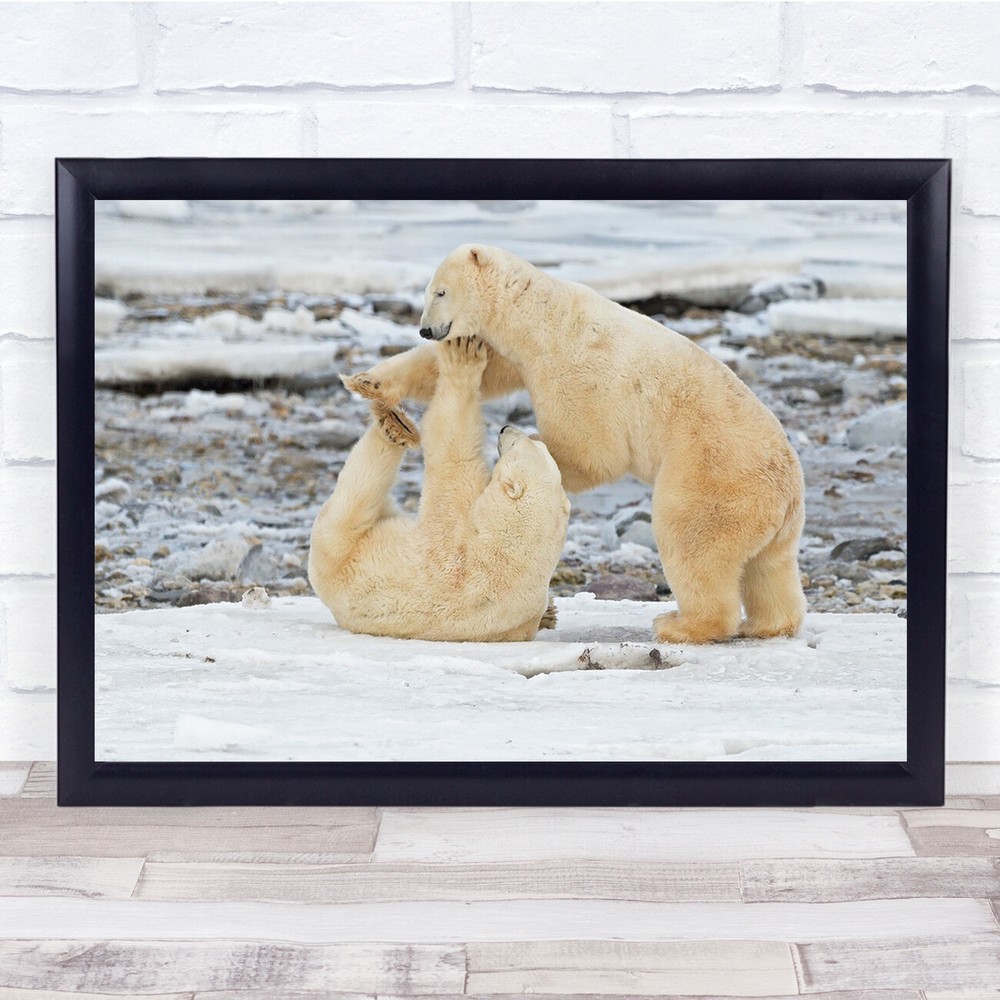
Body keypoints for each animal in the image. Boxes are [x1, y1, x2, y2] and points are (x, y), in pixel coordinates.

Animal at [308, 335, 570, 643]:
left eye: (520, 443)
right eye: (538, 445)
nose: (505, 429)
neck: (514, 553)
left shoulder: (457, 534)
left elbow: (450, 445)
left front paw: (462, 357)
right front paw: (548, 613)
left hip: (340, 549)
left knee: (355, 494)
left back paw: (396, 428)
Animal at [342, 243, 807, 646]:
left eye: (440, 291)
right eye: (428, 291)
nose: (426, 328)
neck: (545, 319)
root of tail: (787, 493)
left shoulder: (578, 367)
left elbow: (593, 451)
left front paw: (521, 457)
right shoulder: (521, 356)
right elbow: (484, 371)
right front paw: (368, 382)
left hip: (711, 480)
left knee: (692, 544)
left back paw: (679, 625)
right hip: (773, 520)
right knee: (770, 569)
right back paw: (767, 624)